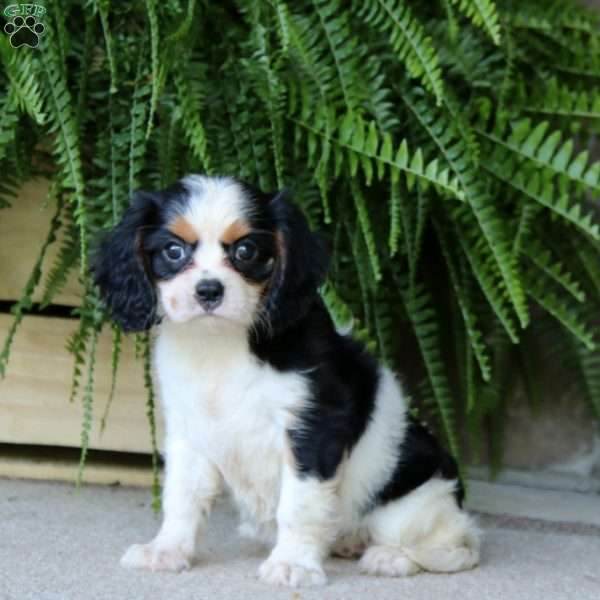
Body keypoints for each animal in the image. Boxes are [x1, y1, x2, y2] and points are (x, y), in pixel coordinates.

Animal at [92, 173, 478, 584]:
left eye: (246, 251)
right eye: (173, 251)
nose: (209, 290)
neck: (220, 342)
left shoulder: (312, 427)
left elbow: (299, 504)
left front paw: (293, 563)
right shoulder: (189, 429)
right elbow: (183, 495)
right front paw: (167, 551)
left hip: (412, 502)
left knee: (458, 546)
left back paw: (390, 557)